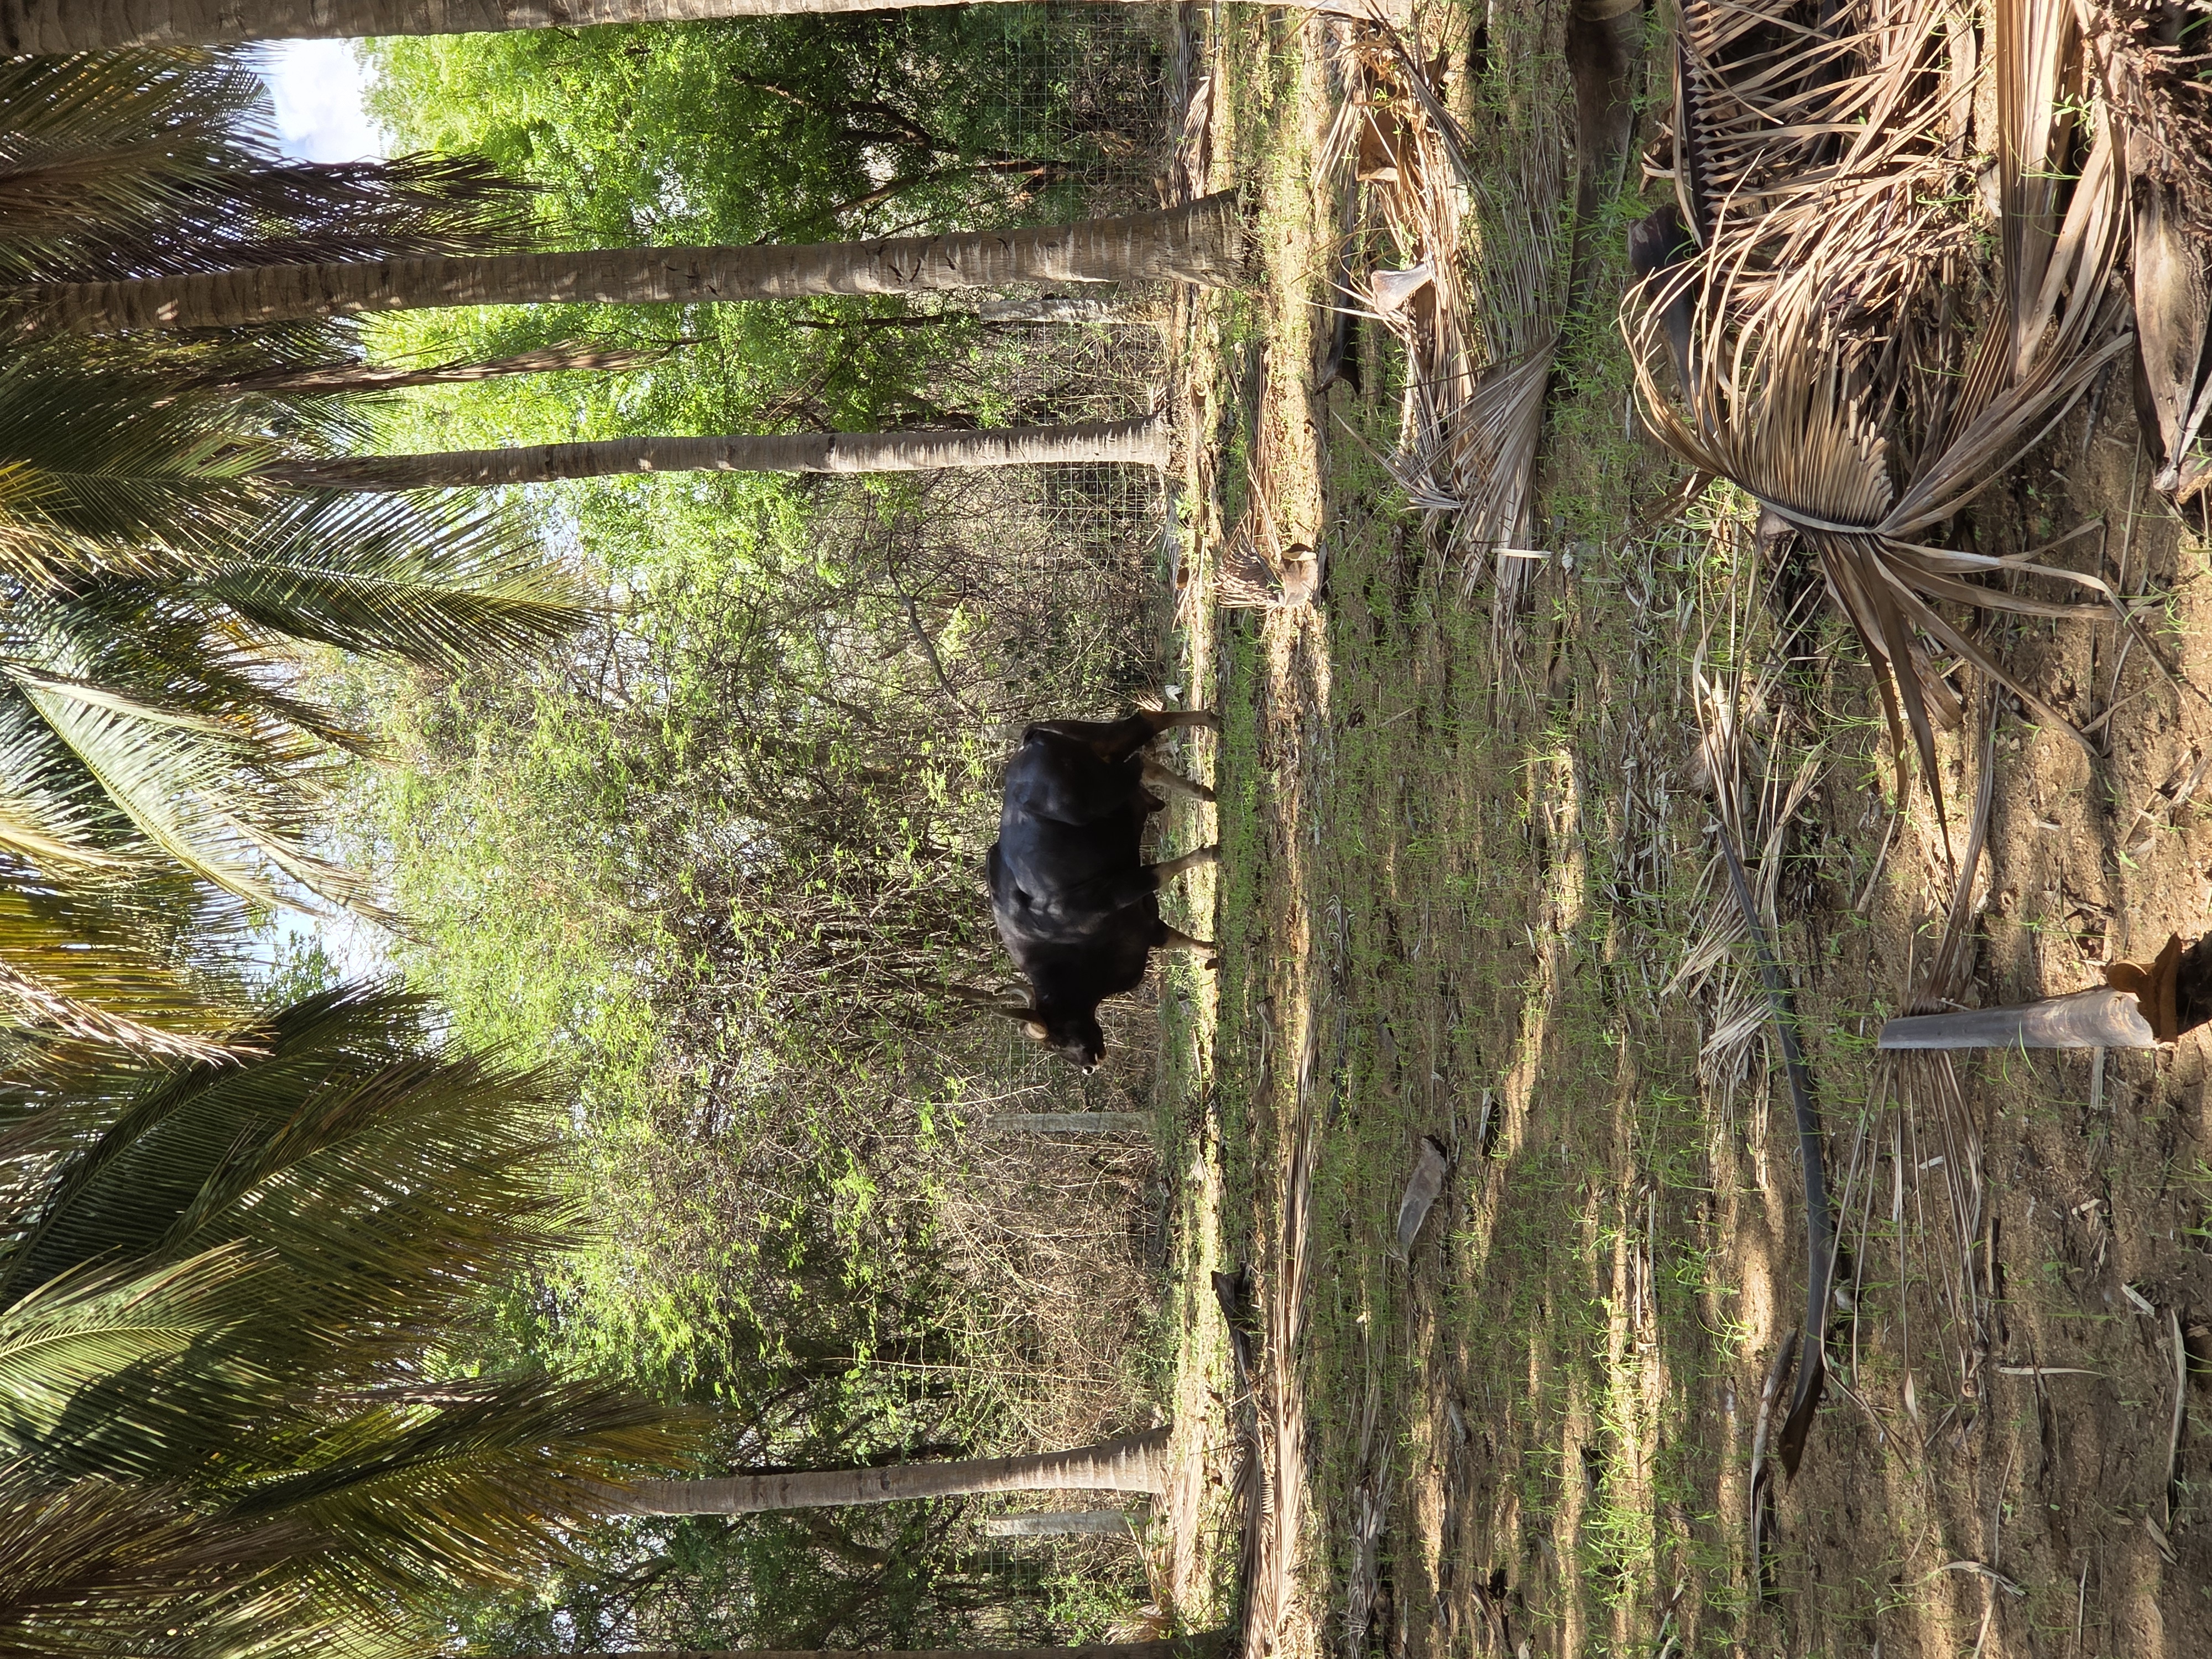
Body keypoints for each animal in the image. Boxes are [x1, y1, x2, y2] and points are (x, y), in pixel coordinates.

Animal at [980, 709, 1221, 1069]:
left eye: (1057, 1038)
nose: (1088, 1066)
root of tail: (1028, 740)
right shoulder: (1142, 925)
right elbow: (1184, 942)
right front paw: (1212, 953)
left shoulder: (1116, 894)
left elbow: (1162, 873)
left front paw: (1212, 853)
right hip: (1104, 744)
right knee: (1145, 734)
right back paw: (1206, 779)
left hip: (1100, 792)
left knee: (1141, 752)